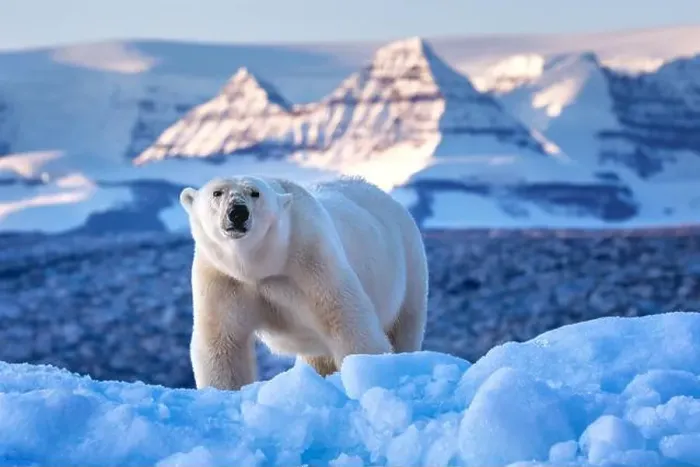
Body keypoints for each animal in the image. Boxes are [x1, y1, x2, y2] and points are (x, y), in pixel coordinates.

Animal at [179, 174, 429, 391]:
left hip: (409, 266)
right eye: (217, 192)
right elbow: (223, 343)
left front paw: (368, 369)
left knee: (404, 325)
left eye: (255, 192)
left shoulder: (311, 261)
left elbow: (348, 322)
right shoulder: (222, 278)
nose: (237, 212)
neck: (261, 266)